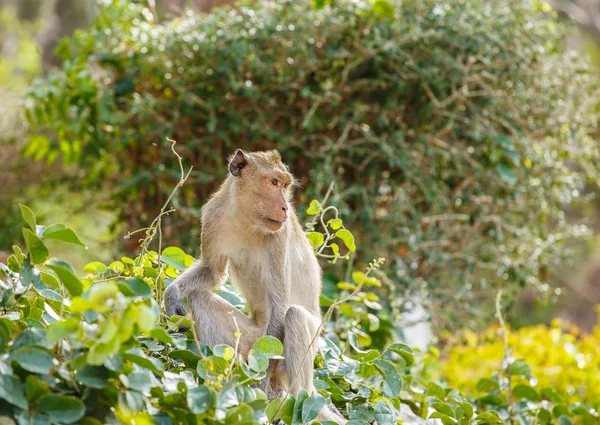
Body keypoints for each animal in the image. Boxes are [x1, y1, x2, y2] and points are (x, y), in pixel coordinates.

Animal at [164, 148, 346, 420]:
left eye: (285, 185)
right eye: (273, 182)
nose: (284, 207)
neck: (245, 219)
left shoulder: (279, 236)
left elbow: (280, 304)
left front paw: (258, 392)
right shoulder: (213, 216)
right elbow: (212, 273)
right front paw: (171, 293)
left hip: (289, 354)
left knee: (294, 316)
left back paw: (291, 400)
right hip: (246, 343)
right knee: (199, 296)